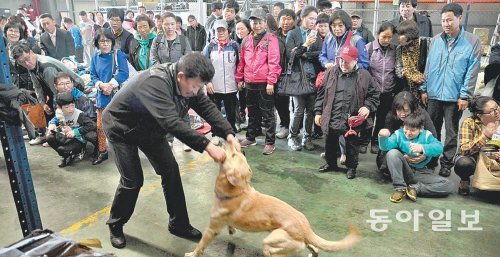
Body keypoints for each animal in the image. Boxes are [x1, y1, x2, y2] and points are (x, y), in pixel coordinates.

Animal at [184, 142, 360, 256]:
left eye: (233, 154)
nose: (226, 140)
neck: (237, 191)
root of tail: (305, 228)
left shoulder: (211, 229)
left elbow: (201, 245)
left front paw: (192, 253)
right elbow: (230, 226)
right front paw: (231, 229)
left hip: (270, 244)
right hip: (302, 241)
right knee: (315, 248)